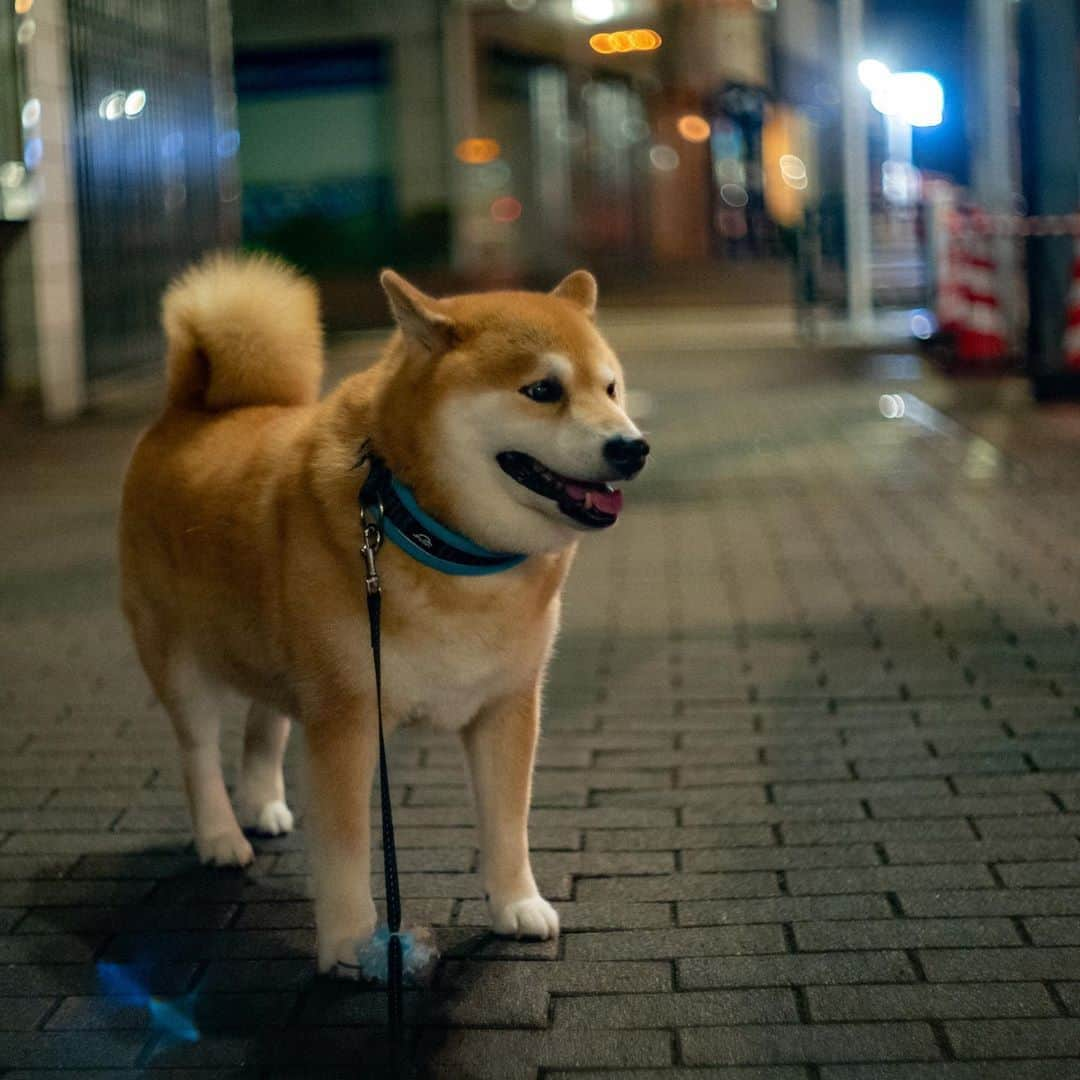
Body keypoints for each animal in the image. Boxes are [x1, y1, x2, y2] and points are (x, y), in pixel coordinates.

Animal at [124, 257, 648, 976]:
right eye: (542, 390)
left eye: (612, 387)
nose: (633, 447)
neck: (425, 532)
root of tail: (187, 411)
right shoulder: (345, 719)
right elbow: (345, 848)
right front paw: (351, 943)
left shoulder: (507, 705)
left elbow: (507, 823)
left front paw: (517, 904)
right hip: (182, 664)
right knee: (198, 753)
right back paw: (222, 836)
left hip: (281, 654)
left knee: (264, 723)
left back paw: (261, 804)